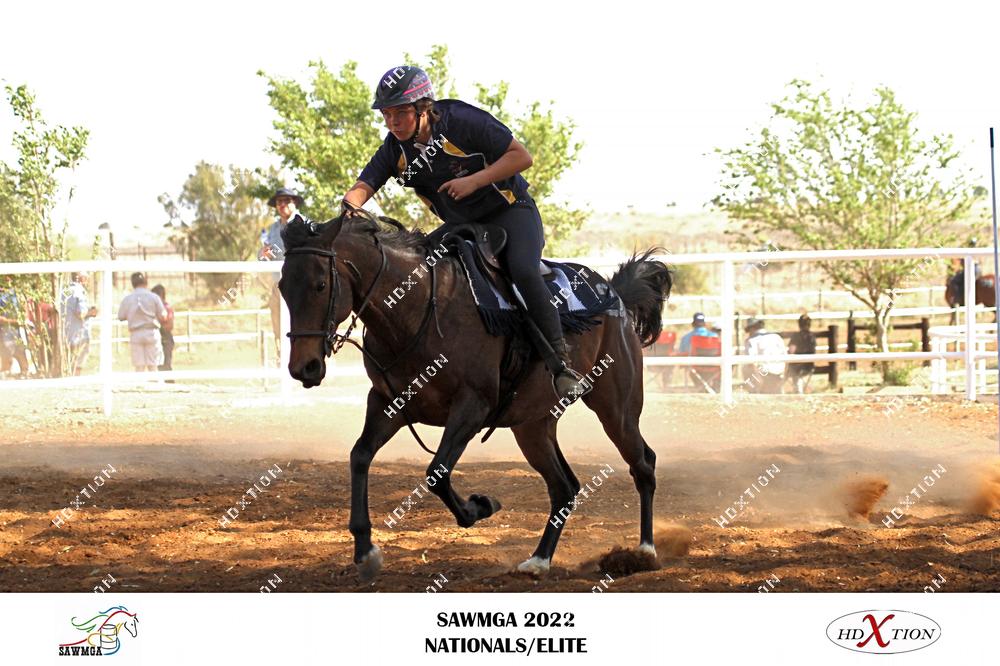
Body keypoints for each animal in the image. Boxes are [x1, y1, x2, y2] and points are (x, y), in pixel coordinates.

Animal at [278, 211, 671, 581]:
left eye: (320, 284)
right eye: (283, 286)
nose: (304, 368)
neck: (422, 309)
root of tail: (614, 294)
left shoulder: (472, 407)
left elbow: (436, 473)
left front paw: (480, 506)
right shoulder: (389, 403)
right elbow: (359, 456)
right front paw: (365, 551)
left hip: (616, 409)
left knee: (644, 463)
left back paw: (645, 551)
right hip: (532, 426)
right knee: (564, 487)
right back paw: (538, 561)